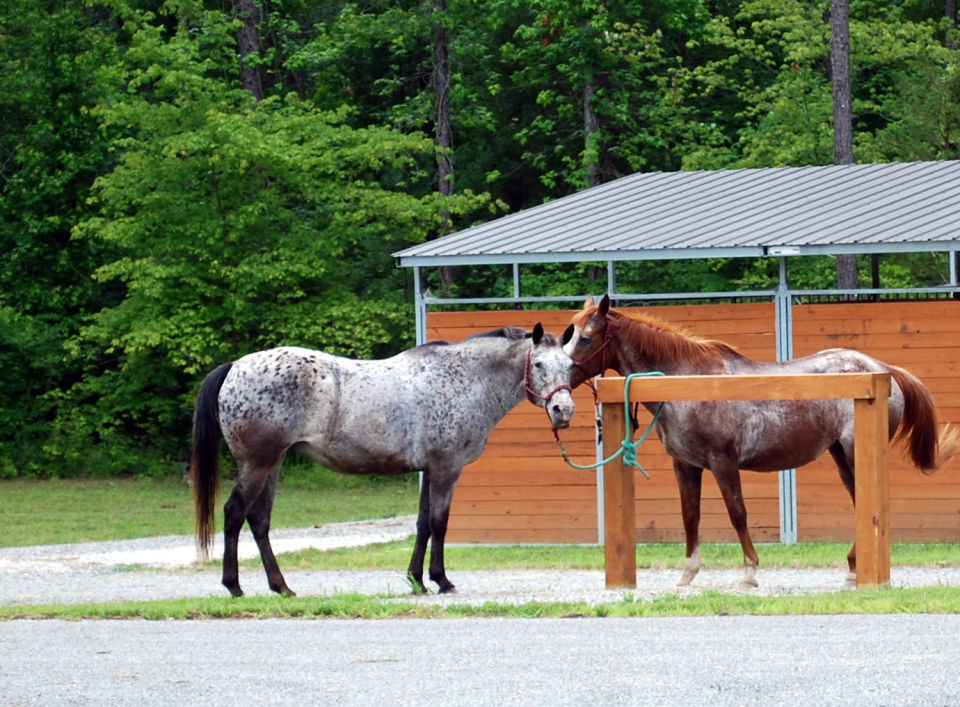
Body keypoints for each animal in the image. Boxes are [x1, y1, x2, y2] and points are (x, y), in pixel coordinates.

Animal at [191, 324, 572, 596]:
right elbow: (439, 524)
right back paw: (234, 586)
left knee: (259, 520)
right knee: (234, 513)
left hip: (273, 464)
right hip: (258, 464)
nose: (563, 411)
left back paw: (281, 586)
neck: (464, 379)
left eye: (569, 365)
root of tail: (236, 366)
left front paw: (416, 580)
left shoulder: (428, 470)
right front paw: (441, 580)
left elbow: (422, 524)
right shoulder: (446, 468)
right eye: (539, 365)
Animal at [564, 296, 960, 588]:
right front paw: (688, 573)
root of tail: (884, 369)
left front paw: (749, 571)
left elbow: (737, 513)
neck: (690, 382)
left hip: (853, 454)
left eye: (585, 337)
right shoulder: (686, 466)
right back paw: (852, 566)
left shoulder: (723, 462)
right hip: (842, 457)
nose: (557, 377)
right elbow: (690, 516)